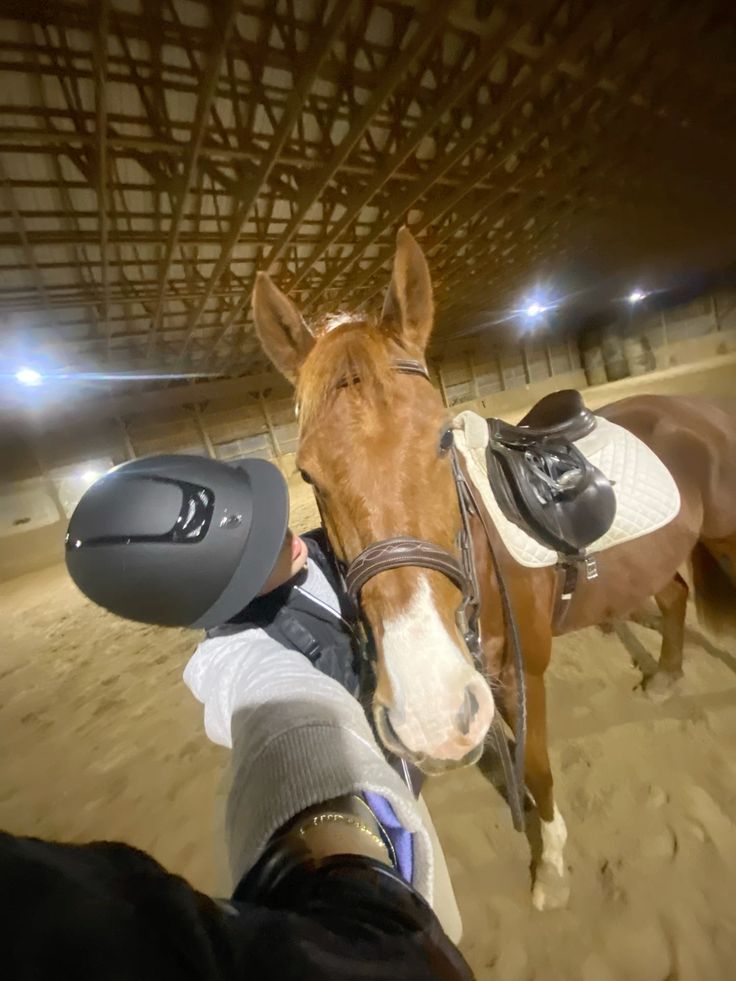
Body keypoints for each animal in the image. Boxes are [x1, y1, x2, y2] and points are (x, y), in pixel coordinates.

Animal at [252, 227, 736, 910]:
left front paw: (551, 866)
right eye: (307, 473)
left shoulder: (521, 677)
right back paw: (665, 676)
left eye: (442, 439)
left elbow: (535, 766)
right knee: (671, 597)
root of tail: (693, 409)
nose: (428, 711)